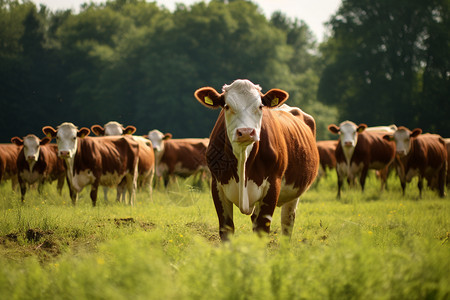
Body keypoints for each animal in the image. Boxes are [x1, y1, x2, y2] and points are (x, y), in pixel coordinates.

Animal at [194, 78, 320, 240]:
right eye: (227, 106)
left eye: (260, 106)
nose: (246, 132)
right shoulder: (217, 185)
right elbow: (226, 229)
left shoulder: (273, 185)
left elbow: (262, 229)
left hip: (294, 193)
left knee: (287, 222)